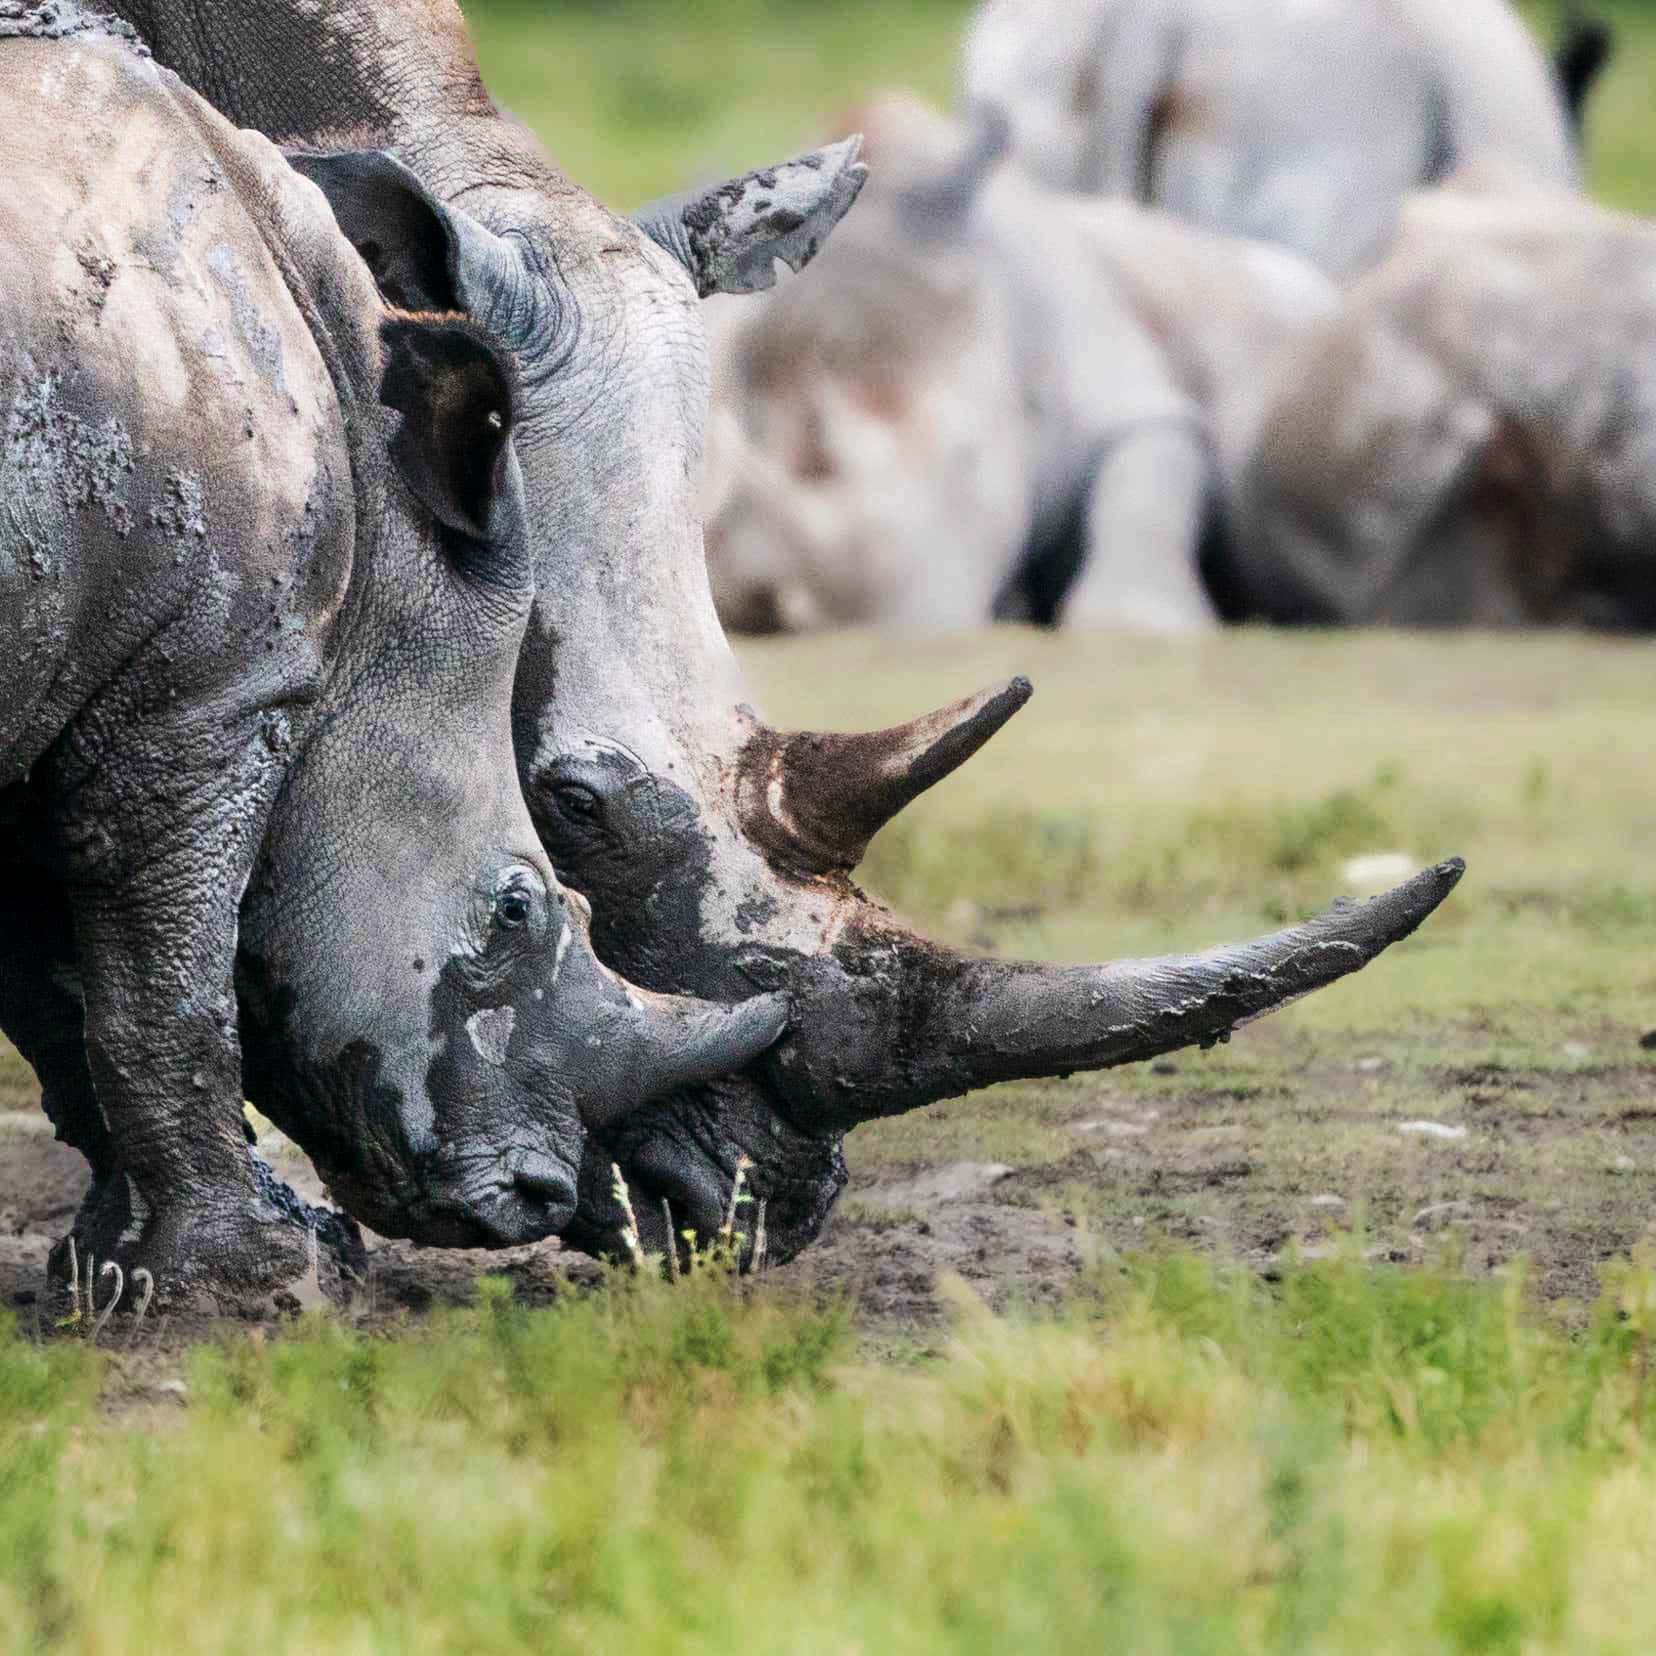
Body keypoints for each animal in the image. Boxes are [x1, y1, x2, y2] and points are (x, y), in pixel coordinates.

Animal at [0, 22, 784, 1304]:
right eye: (518, 907)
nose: (539, 1199)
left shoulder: (72, 681)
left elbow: (61, 984)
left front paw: (115, 1275)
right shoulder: (202, 698)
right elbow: (164, 988)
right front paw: (254, 1287)